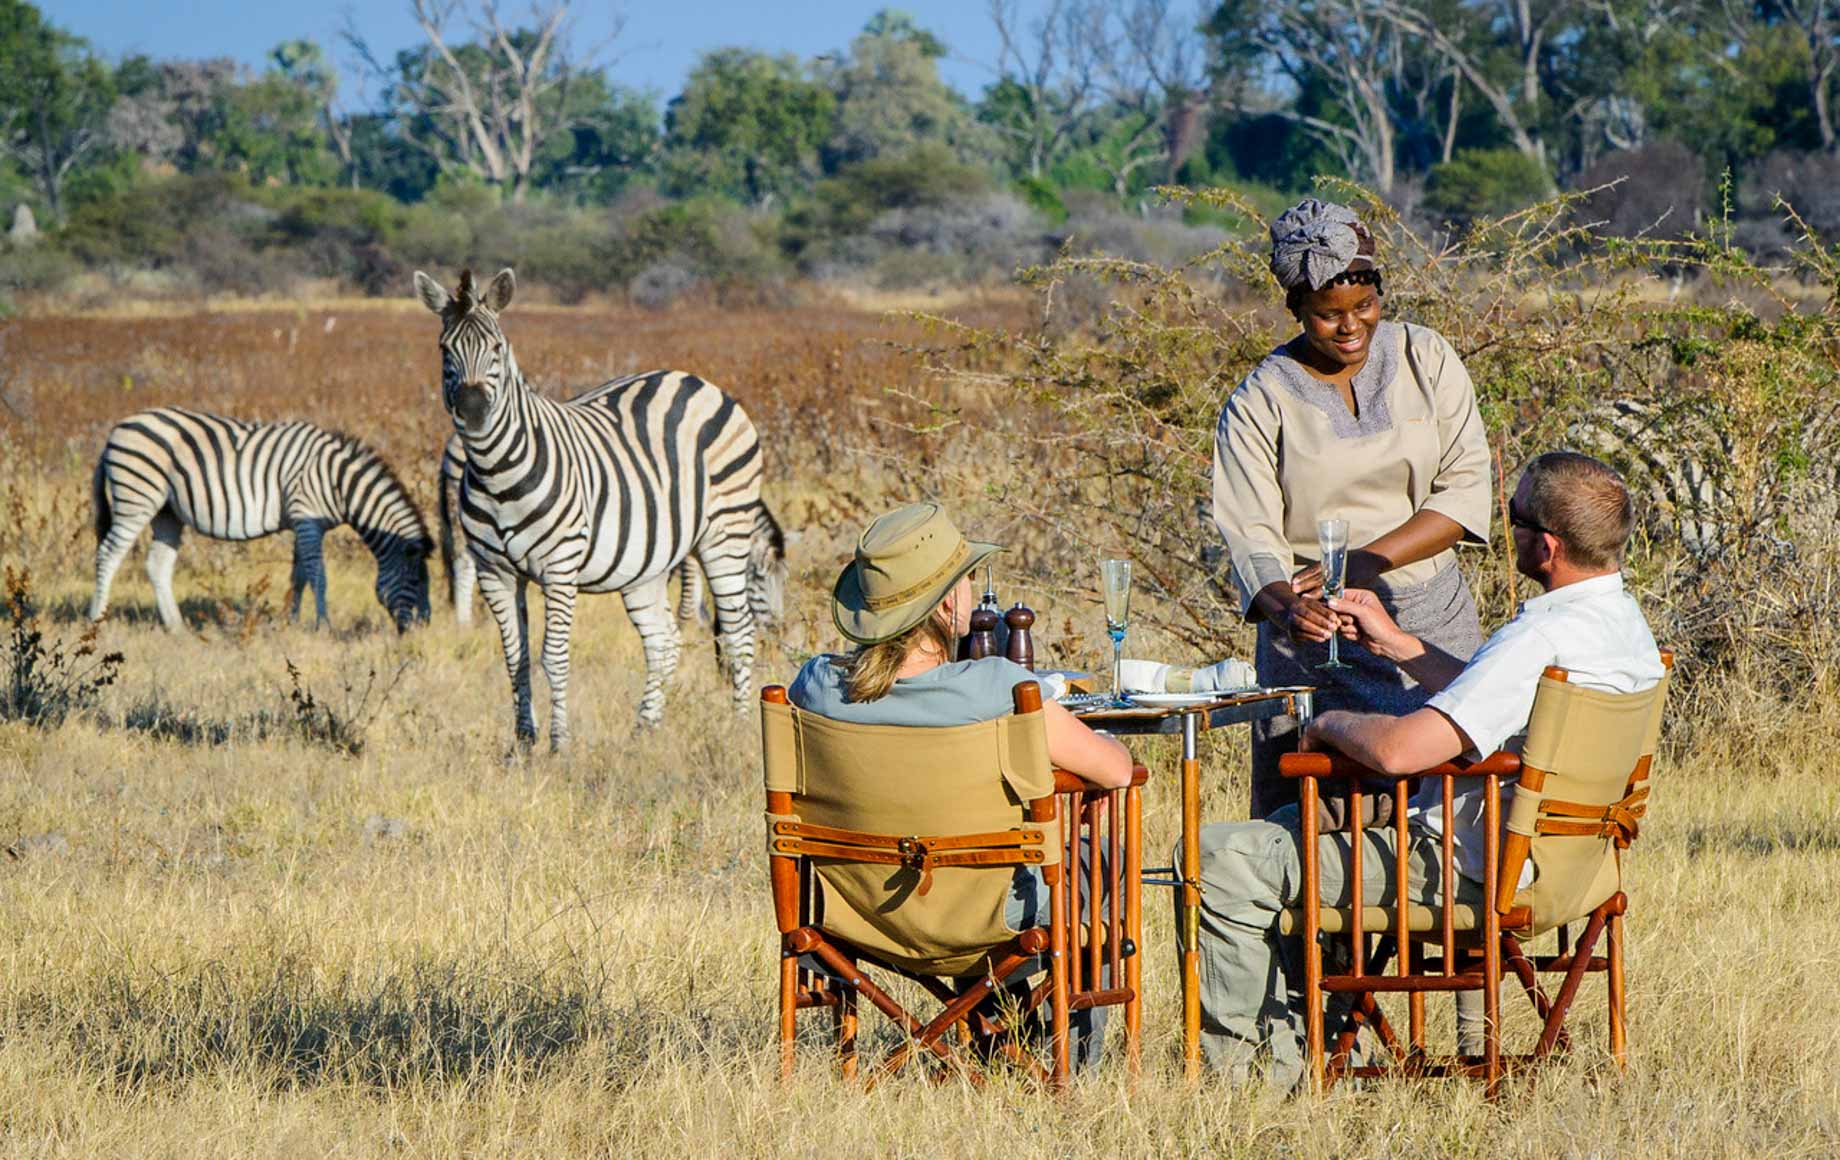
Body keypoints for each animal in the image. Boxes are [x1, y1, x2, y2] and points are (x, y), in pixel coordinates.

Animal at [91, 408, 432, 637]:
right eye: (416, 582)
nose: (419, 630)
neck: (338, 482)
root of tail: (115, 430)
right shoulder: (307, 519)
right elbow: (319, 575)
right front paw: (323, 625)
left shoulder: (302, 523)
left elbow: (299, 577)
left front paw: (291, 621)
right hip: (137, 496)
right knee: (107, 554)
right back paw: (96, 619)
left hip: (167, 512)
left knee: (157, 565)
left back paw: (177, 627)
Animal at [414, 268, 787, 751]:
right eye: (445, 349)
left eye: (497, 347)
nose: (474, 410)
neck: (496, 472)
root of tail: (696, 381)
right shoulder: (495, 573)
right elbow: (515, 658)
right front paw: (523, 744)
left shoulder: (559, 568)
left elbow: (553, 657)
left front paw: (559, 746)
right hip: (648, 565)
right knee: (663, 641)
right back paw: (644, 731)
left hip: (725, 531)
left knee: (739, 632)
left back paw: (740, 726)